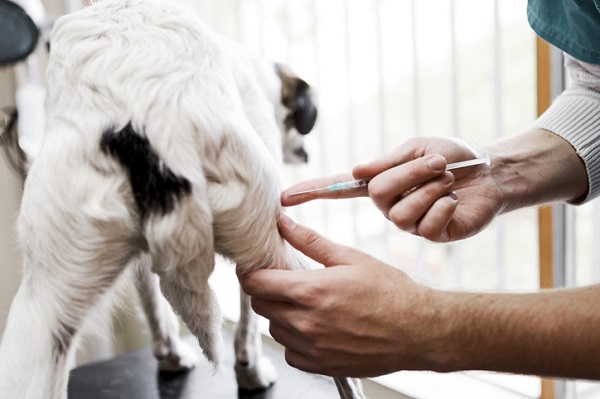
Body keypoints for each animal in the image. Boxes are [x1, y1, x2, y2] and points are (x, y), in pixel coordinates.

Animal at [0, 0, 366, 399]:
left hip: (42, 311)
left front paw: (170, 356)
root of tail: (150, 128)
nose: (308, 152)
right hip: (278, 251)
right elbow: (249, 322)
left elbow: (153, 305)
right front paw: (250, 371)